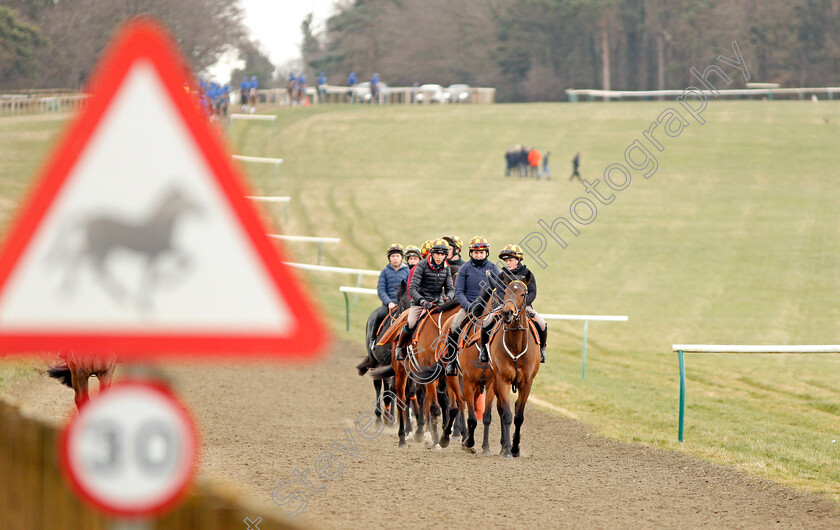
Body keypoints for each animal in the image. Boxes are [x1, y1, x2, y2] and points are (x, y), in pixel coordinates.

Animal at [488, 274, 540, 456]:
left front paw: (516, 448)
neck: (516, 345)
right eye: (505, 291)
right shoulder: (502, 380)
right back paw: (504, 444)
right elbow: (507, 414)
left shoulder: (527, 383)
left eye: (523, 294)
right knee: (501, 409)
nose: (507, 313)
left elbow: (519, 416)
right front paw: (507, 449)